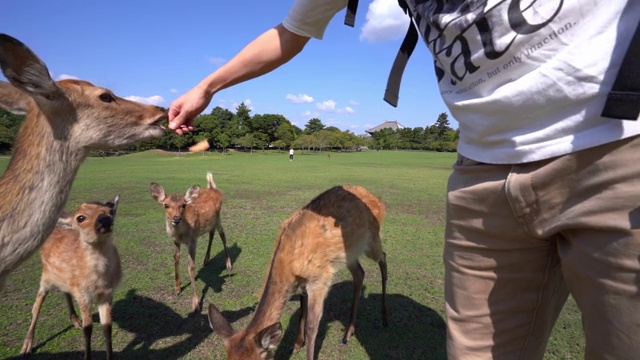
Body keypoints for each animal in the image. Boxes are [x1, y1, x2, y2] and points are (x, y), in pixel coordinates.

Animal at [21, 197, 121, 360]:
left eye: (110, 211)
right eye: (80, 217)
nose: (105, 220)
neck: (99, 282)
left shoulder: (107, 295)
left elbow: (107, 327)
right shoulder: (82, 294)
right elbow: (88, 328)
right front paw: (87, 357)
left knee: (65, 292)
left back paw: (75, 320)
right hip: (46, 276)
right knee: (36, 304)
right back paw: (27, 346)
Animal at [149, 172, 231, 312]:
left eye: (183, 205)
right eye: (166, 205)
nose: (176, 218)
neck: (182, 233)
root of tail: (213, 188)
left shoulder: (193, 240)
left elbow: (191, 267)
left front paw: (196, 303)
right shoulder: (176, 240)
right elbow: (176, 258)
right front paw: (177, 288)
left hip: (218, 218)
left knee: (223, 235)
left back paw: (228, 264)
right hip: (210, 223)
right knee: (211, 233)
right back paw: (206, 259)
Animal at [208, 186, 388, 360]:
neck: (287, 265)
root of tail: (378, 200)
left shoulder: (319, 279)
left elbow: (312, 326)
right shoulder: (302, 282)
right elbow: (302, 309)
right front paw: (296, 344)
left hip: (372, 240)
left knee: (383, 259)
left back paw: (384, 317)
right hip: (350, 253)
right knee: (360, 273)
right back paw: (347, 333)